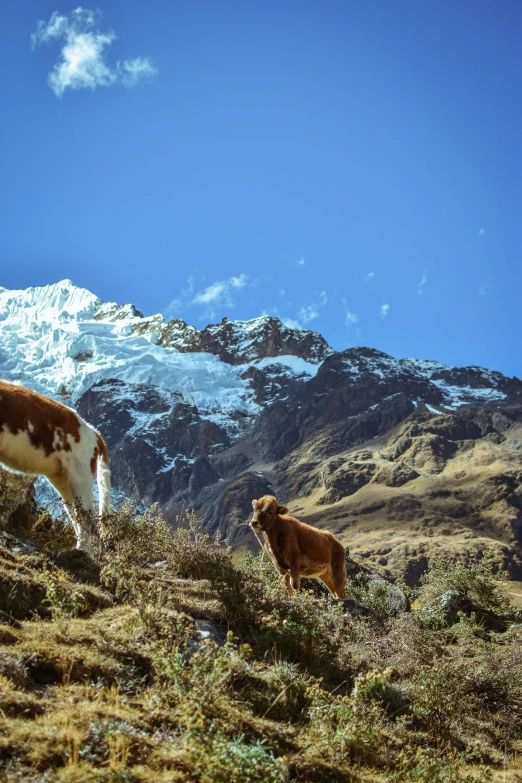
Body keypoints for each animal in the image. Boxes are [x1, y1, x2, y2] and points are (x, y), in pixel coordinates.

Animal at [0, 380, 109, 552]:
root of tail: (95, 433)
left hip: (80, 475)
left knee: (88, 519)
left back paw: (81, 551)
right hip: (62, 479)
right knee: (75, 515)